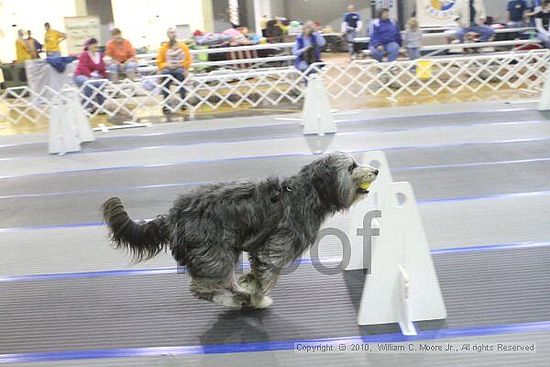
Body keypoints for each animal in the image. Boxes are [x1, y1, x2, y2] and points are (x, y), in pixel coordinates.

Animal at [102, 151, 380, 310]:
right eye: (352, 167)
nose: (376, 170)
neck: (307, 193)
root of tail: (173, 215)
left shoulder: (260, 250)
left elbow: (257, 275)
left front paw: (251, 287)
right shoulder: (275, 249)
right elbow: (266, 277)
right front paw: (259, 300)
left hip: (223, 252)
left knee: (224, 281)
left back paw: (240, 292)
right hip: (214, 254)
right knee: (203, 288)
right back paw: (231, 300)